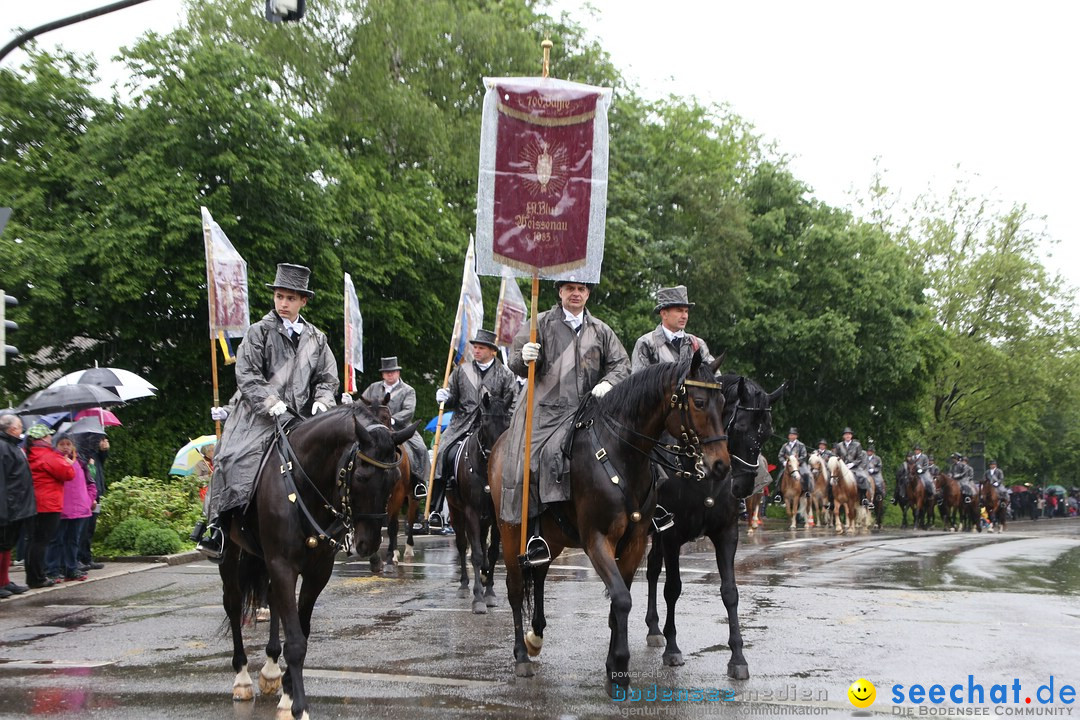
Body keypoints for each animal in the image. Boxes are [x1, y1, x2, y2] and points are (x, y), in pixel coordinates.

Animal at [219, 408, 416, 716]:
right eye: (361, 476)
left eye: (394, 477)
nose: (368, 544)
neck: (302, 484)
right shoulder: (283, 565)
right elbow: (296, 641)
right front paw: (299, 707)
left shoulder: (317, 571)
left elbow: (301, 631)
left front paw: (288, 693)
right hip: (231, 553)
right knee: (233, 602)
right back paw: (242, 678)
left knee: (271, 600)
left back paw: (270, 670)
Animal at [449, 388, 511, 613]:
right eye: (485, 421)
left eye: (508, 421)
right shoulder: (471, 512)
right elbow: (474, 553)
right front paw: (478, 598)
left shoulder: (496, 514)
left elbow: (491, 552)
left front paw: (490, 591)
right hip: (456, 513)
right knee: (461, 544)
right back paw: (464, 585)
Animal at [490, 351, 734, 695]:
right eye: (699, 402)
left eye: (723, 402)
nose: (721, 465)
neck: (622, 455)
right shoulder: (597, 540)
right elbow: (620, 599)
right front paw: (619, 666)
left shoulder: (634, 542)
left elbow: (621, 602)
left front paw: (612, 665)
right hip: (510, 532)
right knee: (514, 589)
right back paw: (522, 656)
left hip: (553, 537)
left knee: (538, 574)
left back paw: (535, 636)